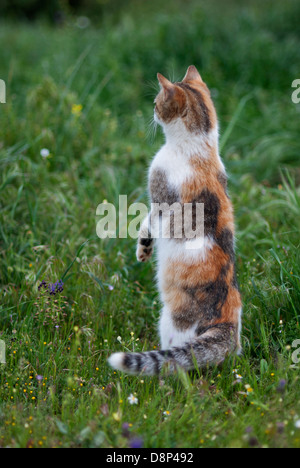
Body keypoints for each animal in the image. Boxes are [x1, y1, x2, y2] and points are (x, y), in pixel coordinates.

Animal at [108, 65, 241, 376]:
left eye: (157, 101)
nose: (153, 111)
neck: (199, 146)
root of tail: (227, 325)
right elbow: (145, 224)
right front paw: (144, 250)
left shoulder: (159, 200)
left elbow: (149, 220)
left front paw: (144, 249)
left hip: (172, 323)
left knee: (176, 366)